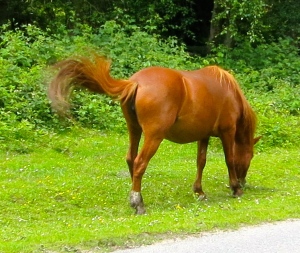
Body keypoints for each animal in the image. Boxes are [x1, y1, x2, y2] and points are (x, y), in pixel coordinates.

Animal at [48, 53, 260, 213]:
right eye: (250, 155)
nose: (243, 182)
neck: (229, 92)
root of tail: (135, 82)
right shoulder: (227, 131)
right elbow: (229, 160)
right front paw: (235, 188)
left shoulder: (203, 135)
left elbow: (201, 161)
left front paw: (199, 191)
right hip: (153, 136)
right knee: (140, 162)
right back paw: (138, 202)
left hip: (134, 130)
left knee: (131, 159)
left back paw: (136, 196)